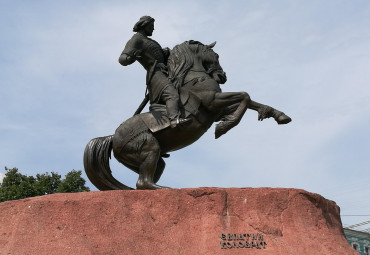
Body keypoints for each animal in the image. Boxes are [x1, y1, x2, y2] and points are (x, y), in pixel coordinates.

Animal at [84, 40, 292, 190]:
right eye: (216, 55)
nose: (223, 76)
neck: (193, 77)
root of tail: (112, 138)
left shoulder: (216, 109)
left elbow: (250, 101)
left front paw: (279, 115)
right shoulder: (213, 101)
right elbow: (245, 96)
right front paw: (223, 127)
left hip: (152, 159)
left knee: (144, 180)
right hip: (149, 147)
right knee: (143, 183)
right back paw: (165, 189)